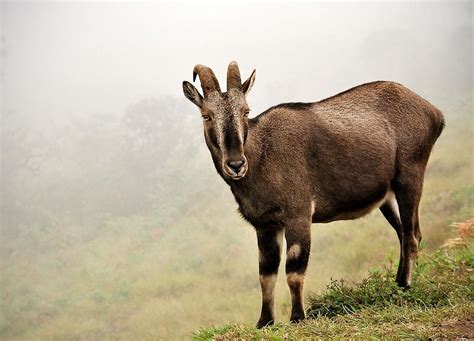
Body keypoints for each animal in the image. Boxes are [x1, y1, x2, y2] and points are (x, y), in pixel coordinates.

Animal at [181, 61, 444, 326]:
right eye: (206, 115)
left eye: (246, 111)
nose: (236, 164)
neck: (262, 155)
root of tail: (433, 112)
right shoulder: (265, 225)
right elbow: (266, 274)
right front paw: (264, 321)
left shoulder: (298, 214)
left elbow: (294, 270)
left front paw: (298, 317)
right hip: (386, 197)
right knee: (402, 233)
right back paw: (396, 284)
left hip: (410, 175)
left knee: (412, 235)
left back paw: (405, 287)